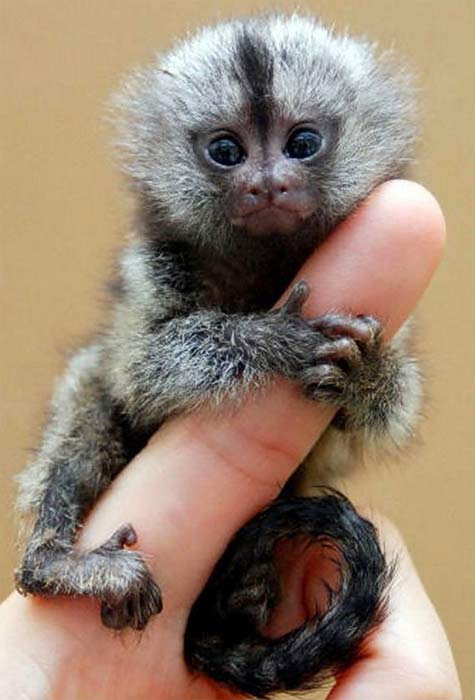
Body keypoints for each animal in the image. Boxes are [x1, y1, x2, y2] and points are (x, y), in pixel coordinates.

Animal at [16, 13, 422, 696]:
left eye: (302, 143)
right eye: (227, 151)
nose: (267, 184)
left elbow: (372, 423)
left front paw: (368, 375)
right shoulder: (158, 267)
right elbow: (138, 372)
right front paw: (272, 339)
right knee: (91, 391)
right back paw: (53, 566)